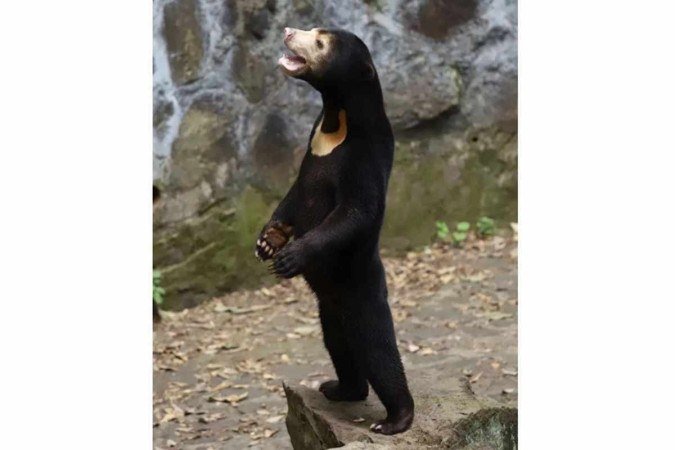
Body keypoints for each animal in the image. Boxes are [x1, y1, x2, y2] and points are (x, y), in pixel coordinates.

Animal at [255, 27, 414, 435]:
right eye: (314, 29)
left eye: (320, 43)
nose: (287, 30)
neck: (335, 119)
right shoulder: (311, 149)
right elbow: (294, 195)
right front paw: (267, 242)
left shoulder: (364, 155)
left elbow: (355, 211)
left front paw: (289, 257)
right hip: (329, 309)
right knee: (339, 345)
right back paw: (339, 388)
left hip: (360, 291)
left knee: (377, 350)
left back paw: (396, 419)